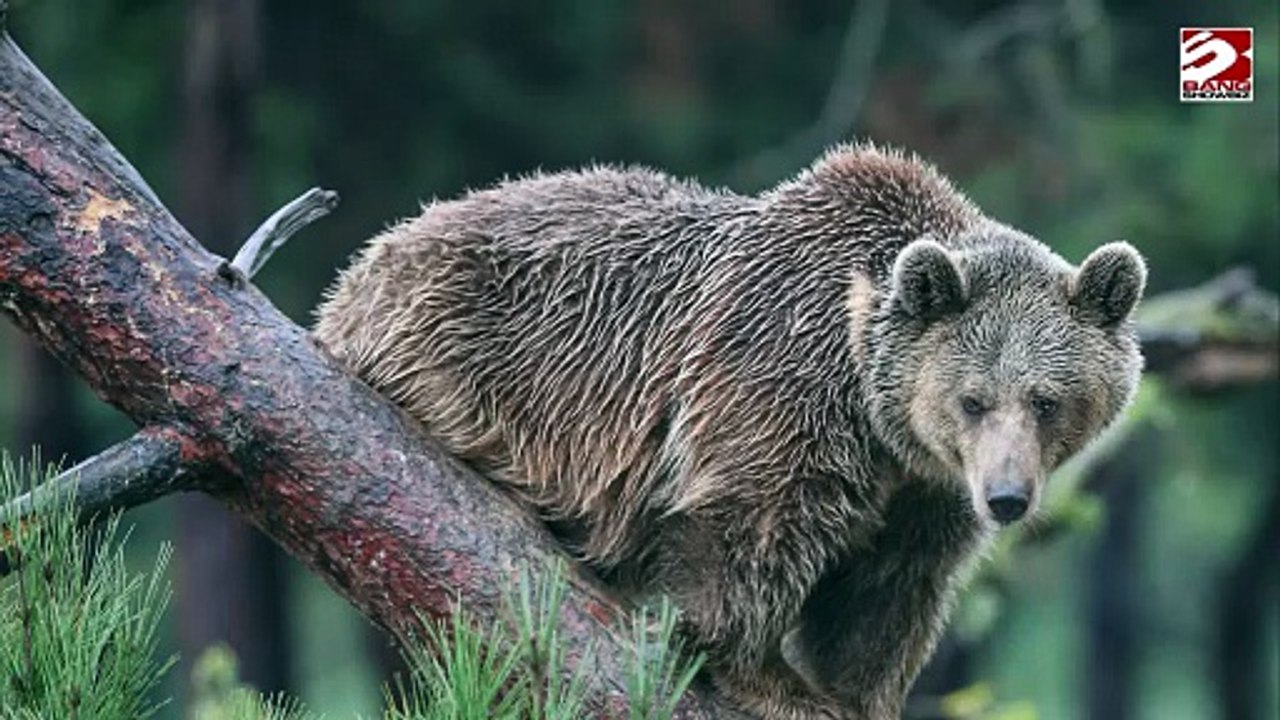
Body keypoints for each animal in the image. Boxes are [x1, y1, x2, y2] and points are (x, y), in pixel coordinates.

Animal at [312, 143, 1146, 719]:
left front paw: (855, 691)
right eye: (973, 400)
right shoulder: (779, 375)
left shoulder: (925, 488)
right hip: (466, 349)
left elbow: (887, 592)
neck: (875, 409)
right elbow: (750, 523)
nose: (1006, 498)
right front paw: (769, 679)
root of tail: (364, 265)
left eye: (1046, 401)